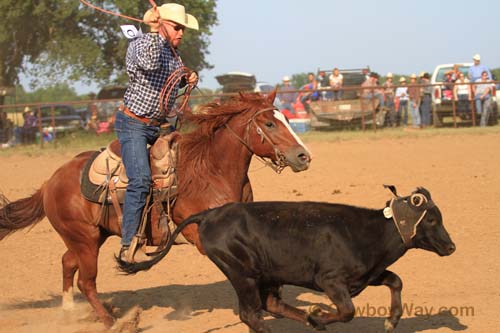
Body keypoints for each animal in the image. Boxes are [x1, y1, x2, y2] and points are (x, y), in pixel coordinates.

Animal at [0, 91, 312, 326]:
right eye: (269, 124)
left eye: (286, 118)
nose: (303, 156)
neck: (210, 171)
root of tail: (49, 182)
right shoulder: (205, 238)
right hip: (85, 240)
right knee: (86, 281)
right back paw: (111, 322)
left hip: (91, 236)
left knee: (67, 262)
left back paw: (69, 312)